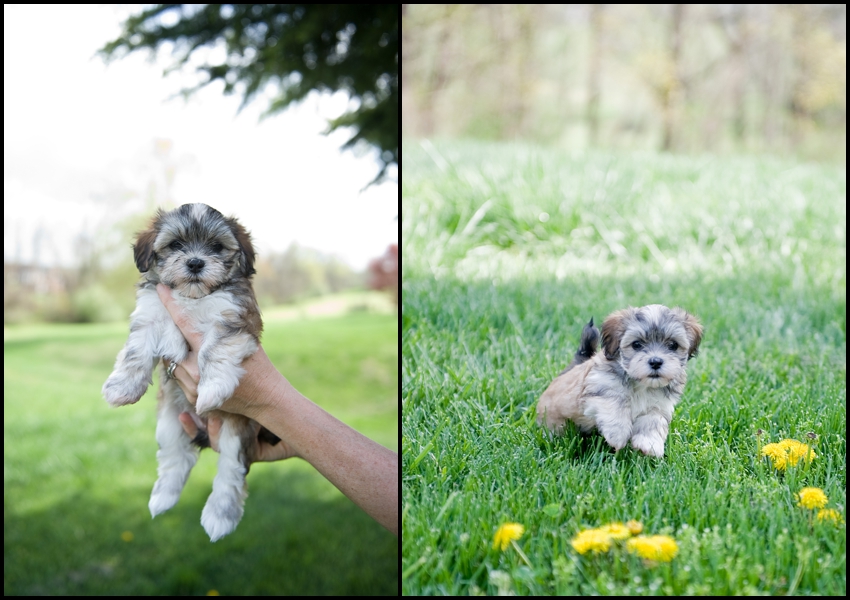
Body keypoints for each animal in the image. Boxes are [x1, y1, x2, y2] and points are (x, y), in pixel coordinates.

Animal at [101, 204, 276, 540]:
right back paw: (162, 498)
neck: (192, 297)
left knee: (230, 472)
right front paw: (122, 387)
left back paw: (219, 516)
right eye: (176, 245)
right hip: (169, 423)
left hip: (237, 430)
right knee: (175, 458)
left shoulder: (232, 318)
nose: (195, 262)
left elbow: (214, 349)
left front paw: (212, 389)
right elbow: (135, 351)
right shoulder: (149, 315)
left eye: (217, 247)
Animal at [536, 304, 704, 460]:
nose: (655, 362)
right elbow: (615, 403)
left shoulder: (659, 405)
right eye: (636, 344)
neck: (640, 384)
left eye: (673, 345)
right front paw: (618, 434)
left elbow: (653, 421)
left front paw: (649, 444)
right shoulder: (600, 387)